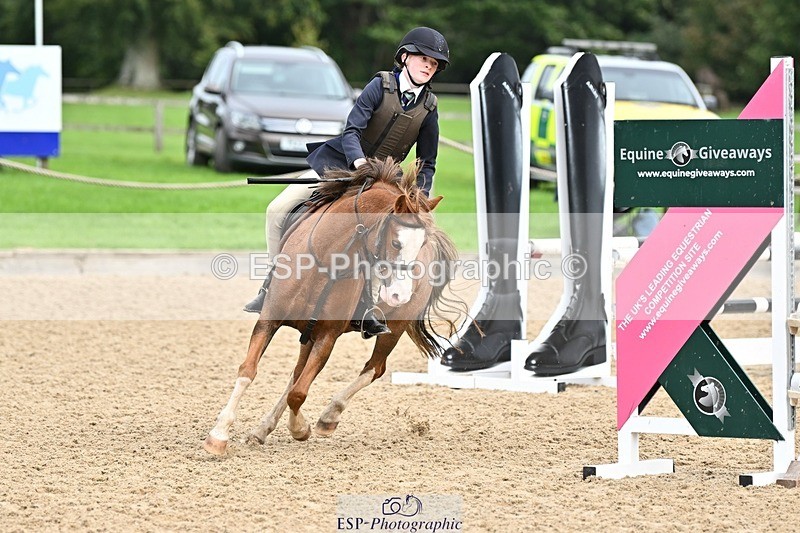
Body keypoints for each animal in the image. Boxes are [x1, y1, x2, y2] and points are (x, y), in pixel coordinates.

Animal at [204, 158, 461, 455]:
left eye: (421, 245)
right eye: (396, 242)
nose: (400, 295)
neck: (324, 259)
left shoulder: (327, 336)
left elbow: (299, 393)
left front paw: (300, 428)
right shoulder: (270, 319)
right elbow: (249, 371)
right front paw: (219, 434)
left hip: (393, 328)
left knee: (374, 369)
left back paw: (329, 416)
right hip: (309, 332)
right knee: (297, 373)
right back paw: (263, 428)